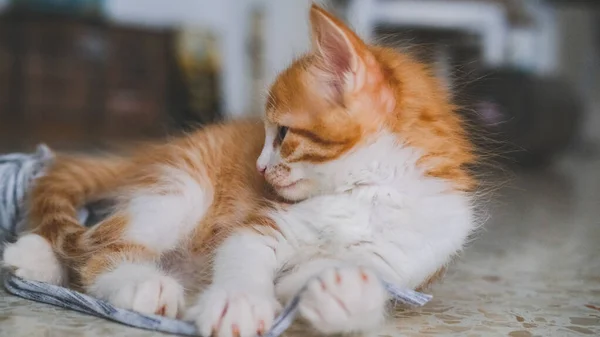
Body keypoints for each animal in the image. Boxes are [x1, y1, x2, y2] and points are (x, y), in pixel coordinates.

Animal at [2, 5, 476, 336]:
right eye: (270, 133)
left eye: (282, 133)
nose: (259, 167)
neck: (367, 190)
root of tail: (159, 149)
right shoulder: (264, 225)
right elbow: (243, 255)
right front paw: (239, 301)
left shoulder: (402, 260)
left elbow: (319, 281)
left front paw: (346, 294)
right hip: (182, 190)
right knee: (102, 247)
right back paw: (135, 283)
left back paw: (34, 260)